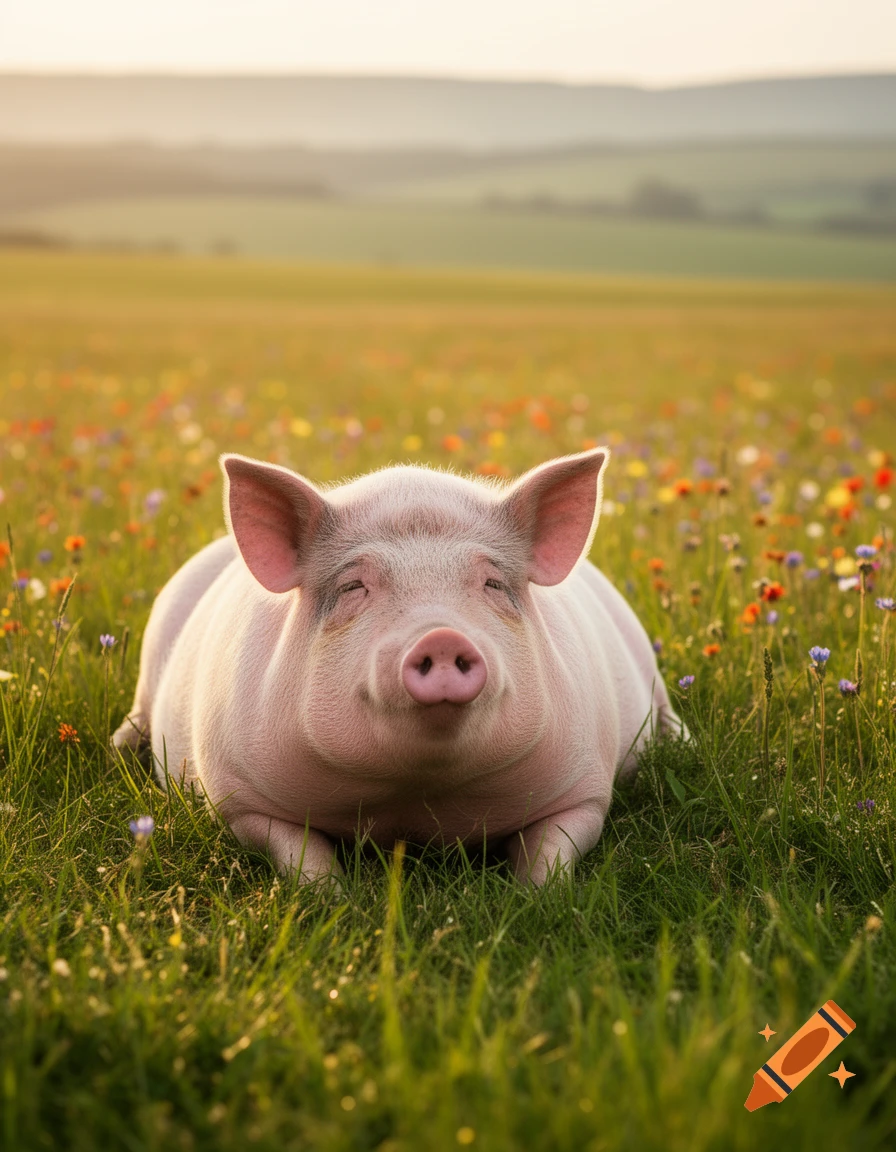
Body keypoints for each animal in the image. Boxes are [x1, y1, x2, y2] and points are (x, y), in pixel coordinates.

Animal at [113, 447, 684, 886]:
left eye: (493, 584)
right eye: (353, 587)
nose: (441, 634)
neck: (413, 799)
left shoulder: (584, 787)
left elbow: (553, 848)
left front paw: (538, 900)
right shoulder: (238, 796)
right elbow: (297, 851)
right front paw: (332, 898)